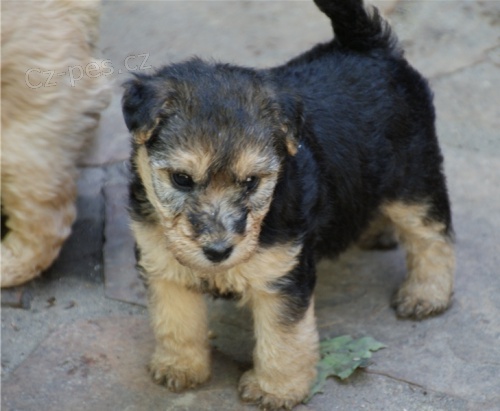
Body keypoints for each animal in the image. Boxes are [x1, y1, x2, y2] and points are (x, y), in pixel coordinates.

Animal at [123, 1, 456, 410]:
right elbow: (175, 322)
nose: (218, 251)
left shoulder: (282, 276)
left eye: (251, 182)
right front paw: (180, 367)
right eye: (182, 179)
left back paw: (426, 294)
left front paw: (276, 389)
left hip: (413, 178)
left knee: (432, 238)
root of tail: (368, 45)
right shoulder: (162, 263)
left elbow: (283, 339)